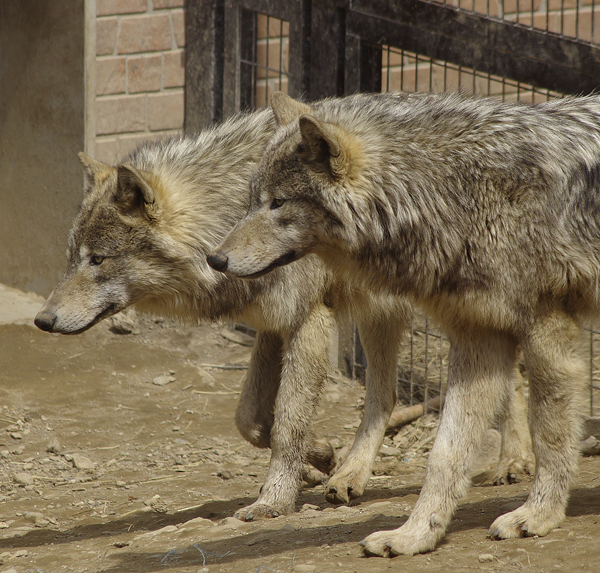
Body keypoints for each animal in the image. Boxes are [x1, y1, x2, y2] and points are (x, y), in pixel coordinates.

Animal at [209, 92, 596, 556]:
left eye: (278, 203)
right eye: (252, 200)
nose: (215, 259)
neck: (453, 193)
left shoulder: (549, 333)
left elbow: (551, 438)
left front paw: (538, 516)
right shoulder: (480, 339)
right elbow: (445, 454)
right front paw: (415, 534)